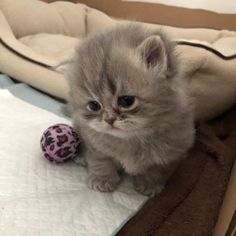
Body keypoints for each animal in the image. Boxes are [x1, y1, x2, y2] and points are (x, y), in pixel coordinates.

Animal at [65, 22, 195, 196]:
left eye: (126, 101)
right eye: (94, 105)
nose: (109, 119)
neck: (133, 139)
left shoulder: (173, 152)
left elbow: (157, 171)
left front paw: (149, 185)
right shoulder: (95, 144)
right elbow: (100, 161)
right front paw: (102, 180)